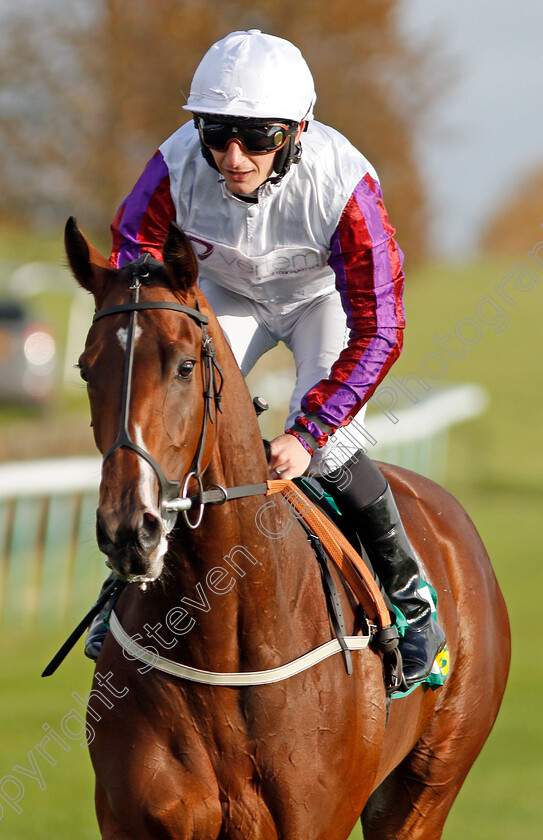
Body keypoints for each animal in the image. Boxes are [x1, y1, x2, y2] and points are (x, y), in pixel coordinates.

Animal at [66, 218, 512, 840]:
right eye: (87, 368)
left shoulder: (316, 820)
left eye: (184, 366)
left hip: (426, 789)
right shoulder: (135, 820)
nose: (130, 531)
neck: (222, 644)